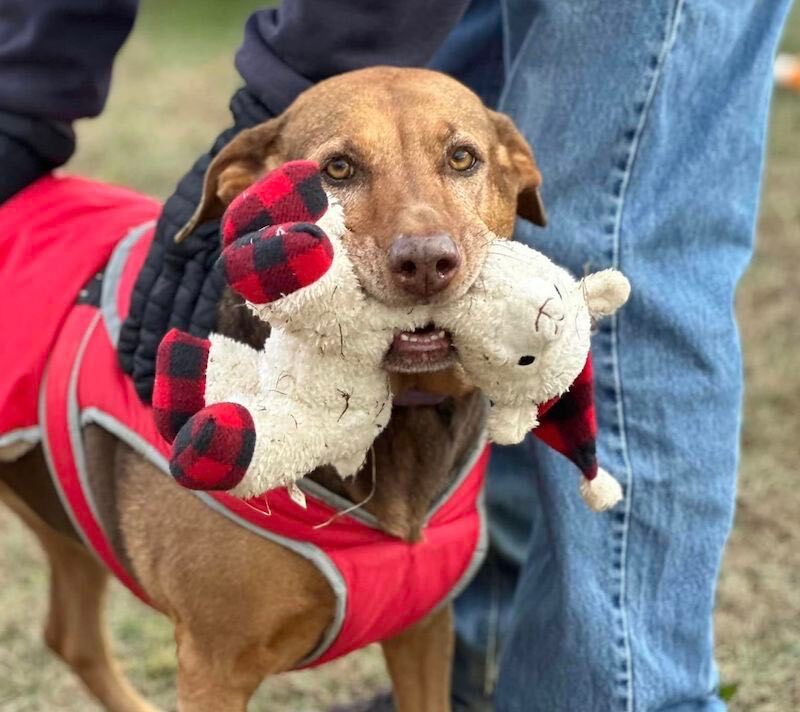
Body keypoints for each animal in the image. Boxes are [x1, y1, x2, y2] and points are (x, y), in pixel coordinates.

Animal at [0, 67, 544, 712]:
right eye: (338, 170)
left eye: (463, 158)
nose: (427, 263)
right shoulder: (213, 667)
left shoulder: (424, 629)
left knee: (70, 636)